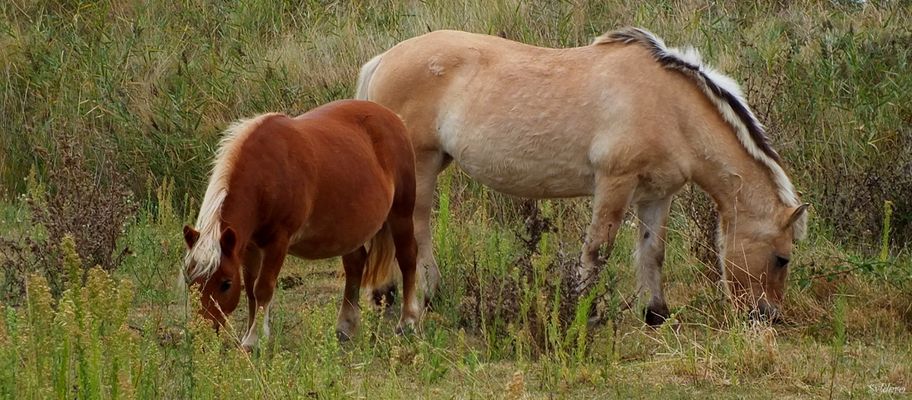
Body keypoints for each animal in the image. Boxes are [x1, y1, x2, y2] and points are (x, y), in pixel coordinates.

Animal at [182, 99, 419, 348]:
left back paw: (407, 322)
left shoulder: (278, 241)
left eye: (226, 283)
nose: (202, 333)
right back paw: (345, 327)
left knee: (408, 258)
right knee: (355, 266)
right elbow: (250, 290)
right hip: (350, 230)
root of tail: (392, 117)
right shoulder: (248, 245)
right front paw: (249, 335)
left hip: (401, 213)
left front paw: (254, 341)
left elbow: (262, 288)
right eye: (190, 280)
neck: (266, 175)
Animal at [356, 28, 809, 324]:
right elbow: (597, 251)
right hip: (422, 164)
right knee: (416, 228)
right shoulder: (614, 183)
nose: (768, 317)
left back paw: (387, 294)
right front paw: (580, 311)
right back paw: (428, 296)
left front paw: (655, 314)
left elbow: (653, 252)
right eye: (782, 258)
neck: (669, 106)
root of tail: (383, 61)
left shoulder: (657, 195)